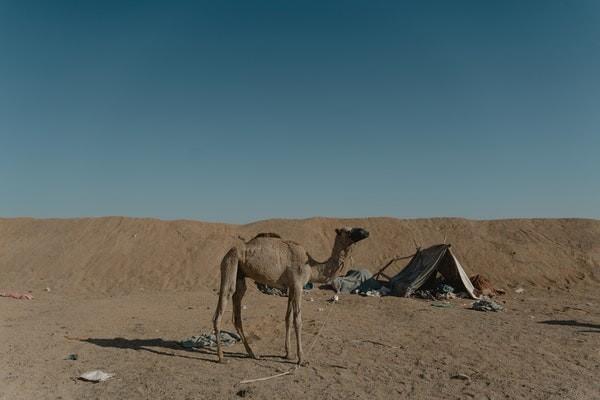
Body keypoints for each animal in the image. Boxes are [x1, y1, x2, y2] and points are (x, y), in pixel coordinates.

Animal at [213, 227, 368, 364]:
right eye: (347, 231)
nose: (366, 232)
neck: (312, 267)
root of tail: (228, 252)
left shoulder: (291, 287)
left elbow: (287, 318)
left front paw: (288, 354)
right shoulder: (298, 285)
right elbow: (297, 320)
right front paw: (302, 359)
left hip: (240, 273)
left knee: (237, 311)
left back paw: (252, 354)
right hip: (230, 262)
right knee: (223, 302)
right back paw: (221, 357)